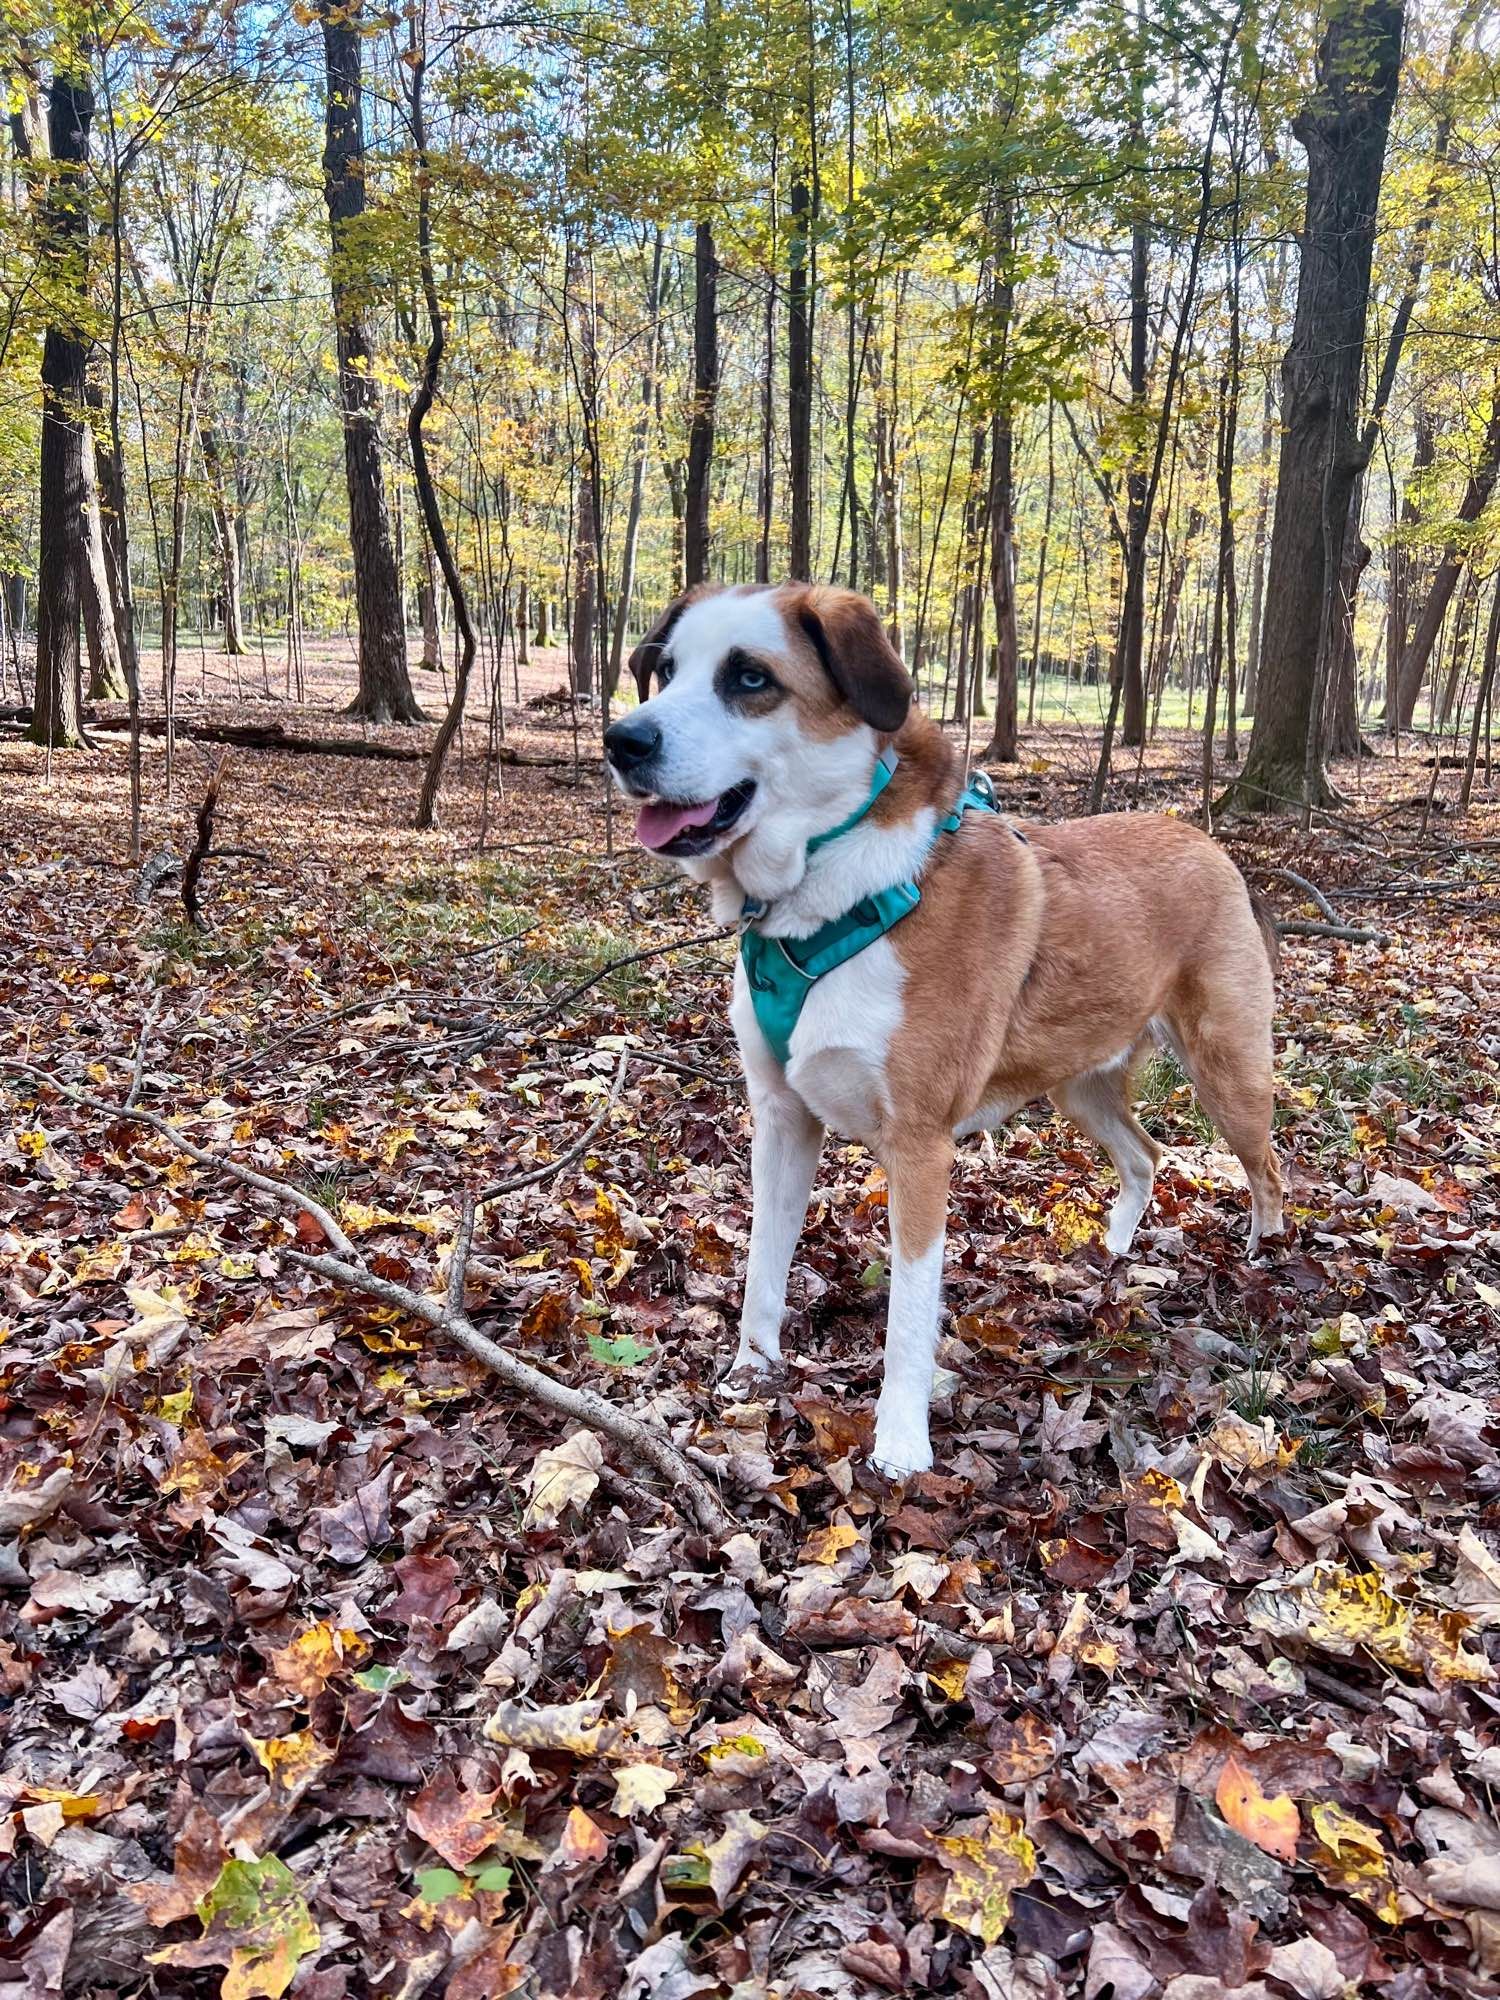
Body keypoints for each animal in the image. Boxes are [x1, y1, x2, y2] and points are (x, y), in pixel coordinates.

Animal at [604, 584, 1288, 1480]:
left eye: (750, 678)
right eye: (667, 671)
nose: (623, 740)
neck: (832, 888)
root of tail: (1206, 840)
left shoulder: (920, 1148)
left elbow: (907, 1320)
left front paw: (900, 1443)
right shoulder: (783, 1121)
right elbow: (761, 1267)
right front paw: (751, 1371)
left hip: (1227, 1070)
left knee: (1269, 1171)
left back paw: (1263, 1260)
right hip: (1079, 1086)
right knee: (1145, 1156)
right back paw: (1110, 1253)